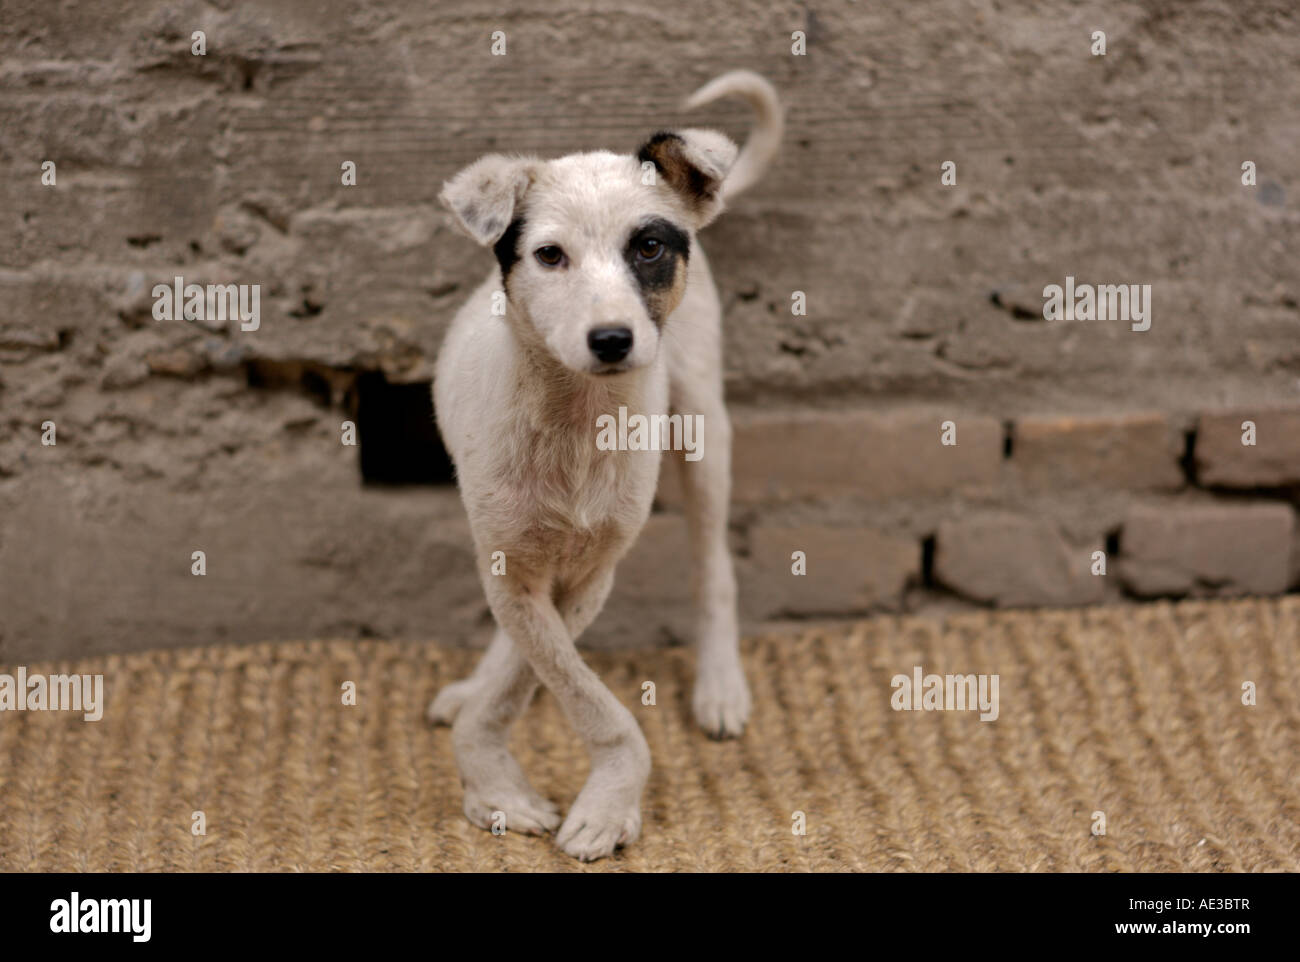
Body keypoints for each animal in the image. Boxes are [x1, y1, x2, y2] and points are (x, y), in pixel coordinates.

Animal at [426, 71, 780, 857]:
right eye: (549, 256)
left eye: (648, 247)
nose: (613, 338)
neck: (575, 420)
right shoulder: (513, 564)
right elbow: (543, 667)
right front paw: (494, 782)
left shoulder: (594, 571)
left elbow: (570, 686)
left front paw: (607, 802)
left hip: (704, 428)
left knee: (714, 569)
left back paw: (720, 687)